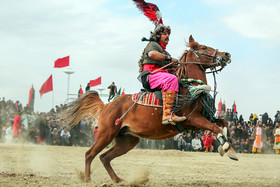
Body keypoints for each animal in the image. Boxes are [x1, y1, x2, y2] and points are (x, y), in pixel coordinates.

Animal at [66, 34, 237, 183]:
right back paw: (88, 179)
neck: (189, 88)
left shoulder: (200, 120)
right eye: (204, 47)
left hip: (127, 140)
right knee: (90, 154)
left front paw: (229, 149)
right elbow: (215, 127)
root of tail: (106, 106)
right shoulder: (193, 118)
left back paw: (118, 179)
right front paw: (227, 148)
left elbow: (223, 124)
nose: (227, 54)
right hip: (106, 134)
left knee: (104, 157)